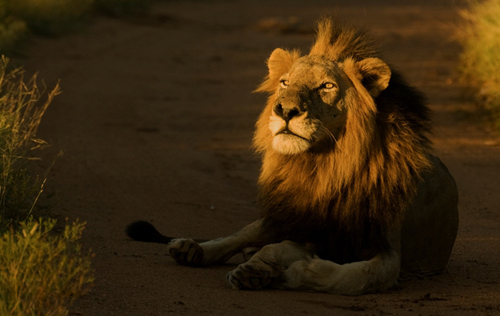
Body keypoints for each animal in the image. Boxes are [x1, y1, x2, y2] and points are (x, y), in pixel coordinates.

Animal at [127, 18, 458, 296]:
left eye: (327, 85)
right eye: (284, 82)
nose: (285, 110)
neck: (323, 164)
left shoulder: (386, 253)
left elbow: (352, 277)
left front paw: (282, 273)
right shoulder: (314, 229)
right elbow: (278, 248)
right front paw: (258, 269)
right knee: (240, 236)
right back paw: (191, 248)